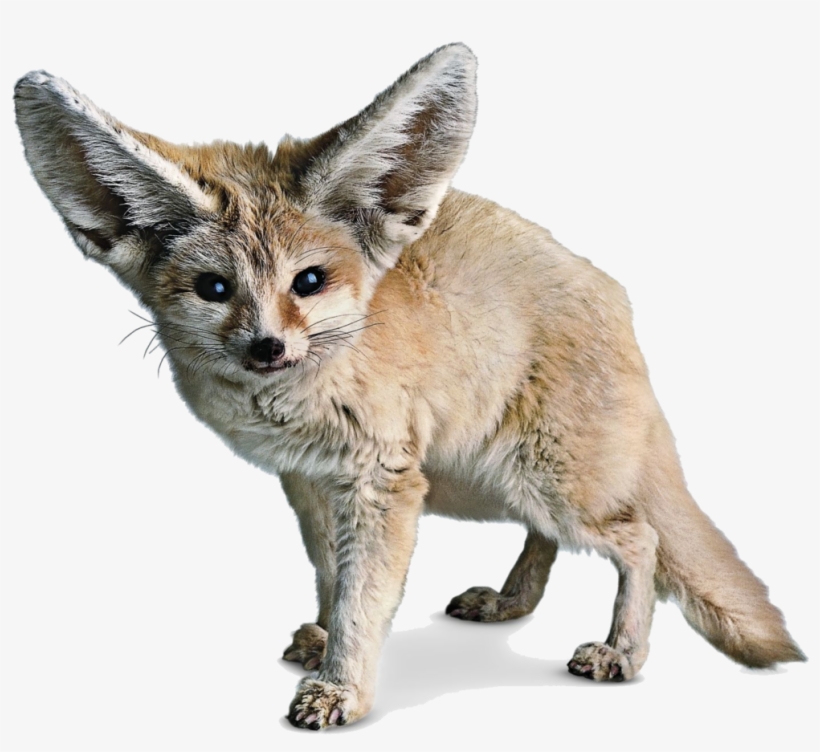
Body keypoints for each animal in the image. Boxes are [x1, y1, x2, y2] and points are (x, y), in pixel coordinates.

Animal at [14, 43, 805, 730]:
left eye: (309, 281)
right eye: (214, 288)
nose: (268, 346)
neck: (297, 403)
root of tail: (615, 298)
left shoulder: (381, 481)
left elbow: (364, 598)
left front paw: (341, 688)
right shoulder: (310, 481)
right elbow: (331, 576)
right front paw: (325, 642)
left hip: (538, 481)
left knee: (639, 537)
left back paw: (621, 650)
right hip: (489, 481)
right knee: (550, 538)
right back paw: (511, 602)